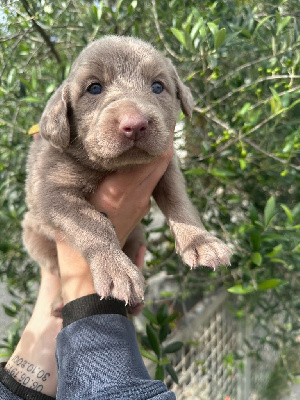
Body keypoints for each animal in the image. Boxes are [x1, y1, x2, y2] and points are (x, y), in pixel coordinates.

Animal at [22, 36, 232, 304]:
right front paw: (116, 270)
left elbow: (179, 201)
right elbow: (92, 225)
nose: (135, 124)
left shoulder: (167, 168)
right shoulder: (50, 191)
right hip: (33, 233)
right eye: (94, 88)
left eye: (157, 86)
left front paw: (200, 241)